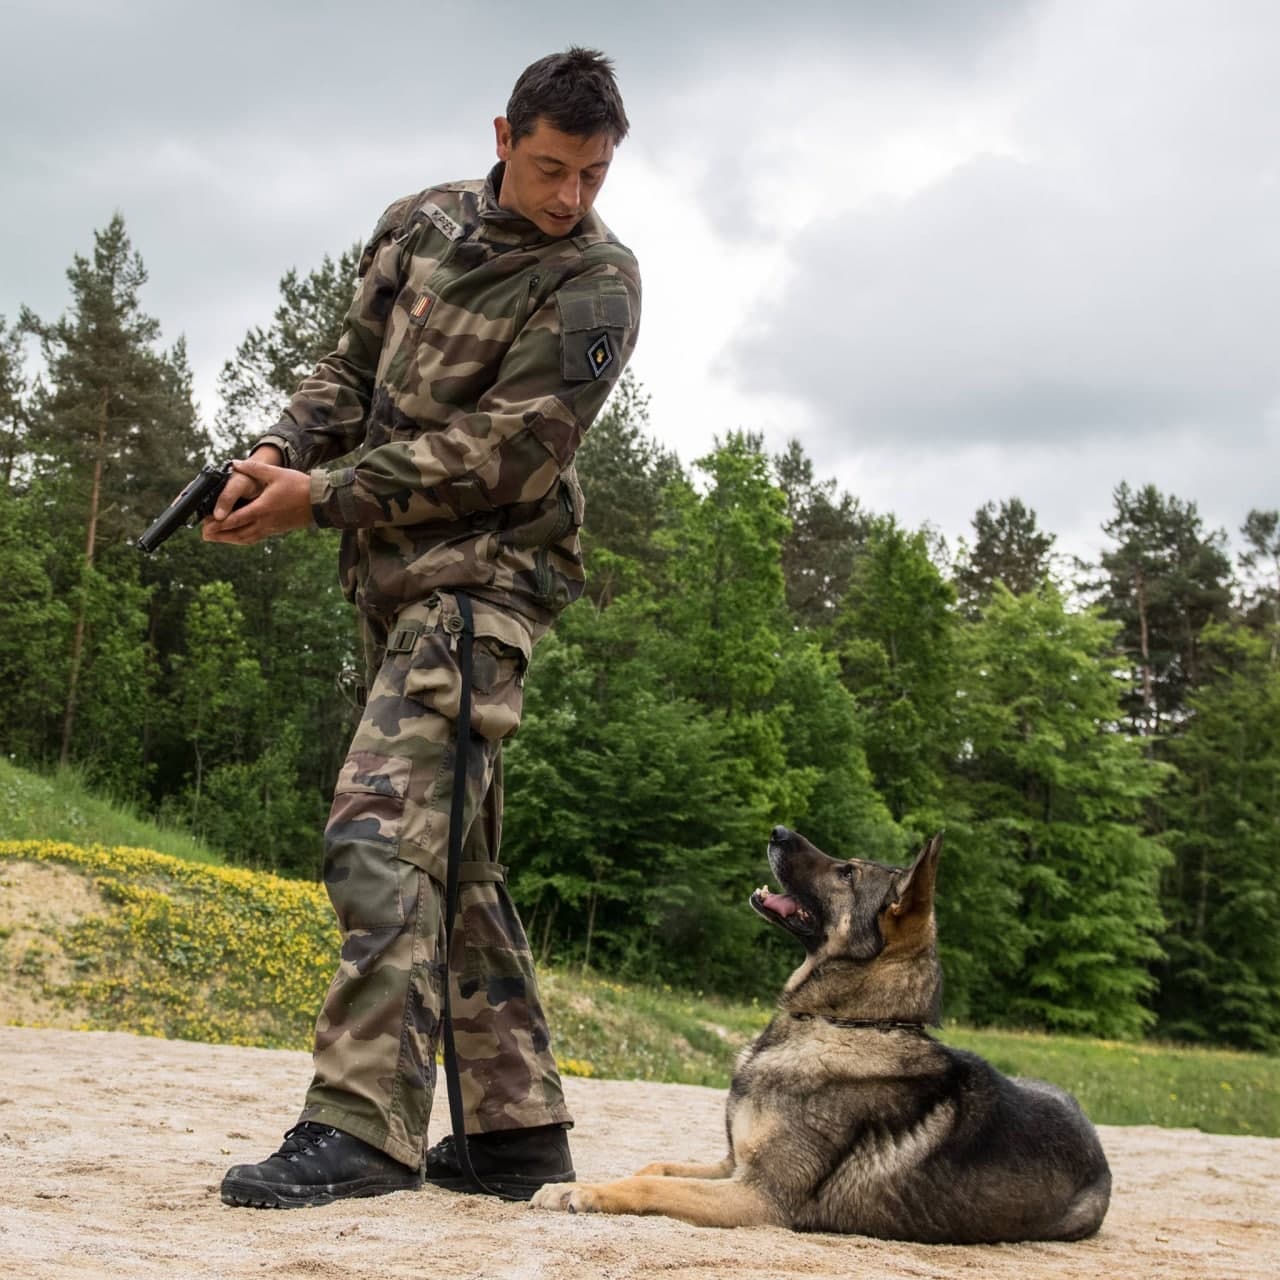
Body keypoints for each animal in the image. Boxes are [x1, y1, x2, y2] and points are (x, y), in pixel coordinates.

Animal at [529, 829, 1111, 1239]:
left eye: (847, 873)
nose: (778, 830)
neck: (841, 1021)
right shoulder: (732, 1165)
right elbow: (656, 1166)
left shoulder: (759, 1196)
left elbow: (652, 1182)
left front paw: (580, 1193)